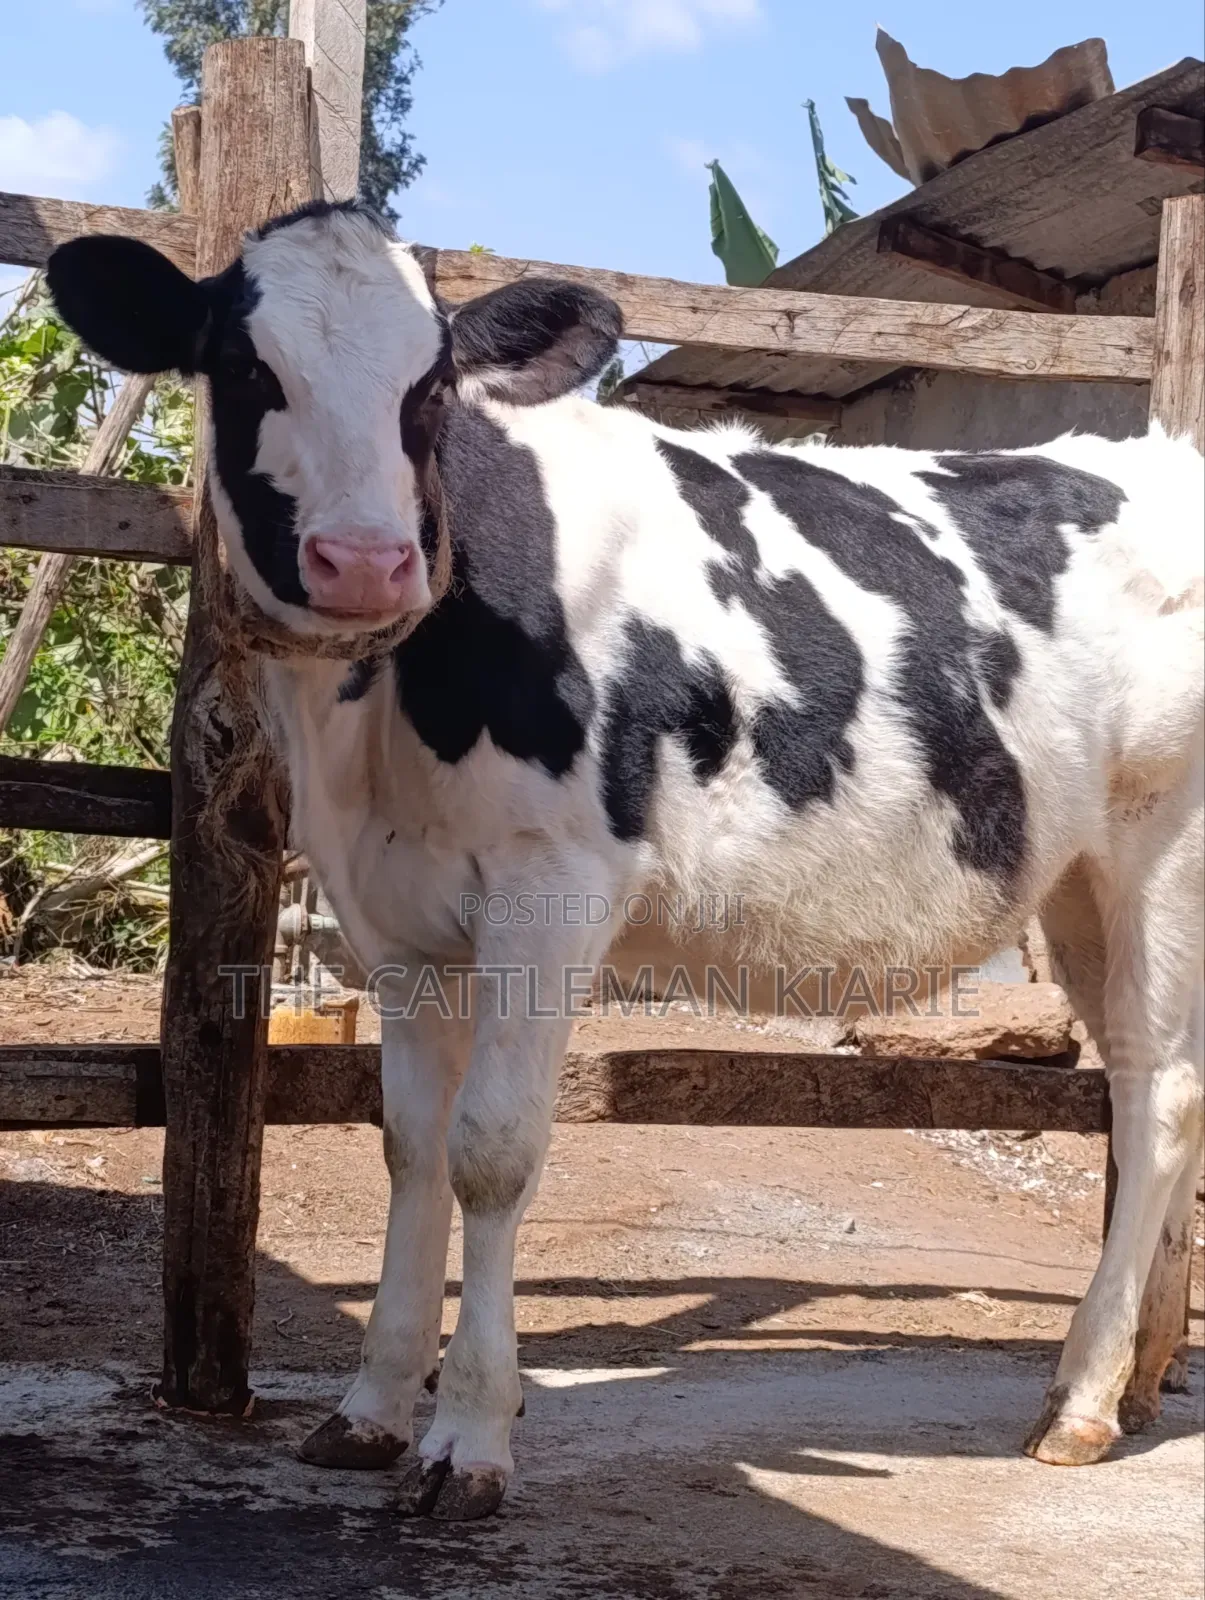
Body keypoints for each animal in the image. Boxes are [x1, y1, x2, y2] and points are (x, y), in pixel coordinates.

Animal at [48, 200, 1204, 1521]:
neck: (381, 710)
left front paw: (467, 1437)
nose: (368, 559)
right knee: (1139, 1085)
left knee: (1159, 1093)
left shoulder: (551, 889)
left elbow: (490, 1152)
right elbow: (409, 1149)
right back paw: (1112, 1380)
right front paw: (371, 1408)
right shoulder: (392, 919)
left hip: (1162, 848)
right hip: (1074, 880)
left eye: (430, 384)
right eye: (244, 367)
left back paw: (1081, 1402)